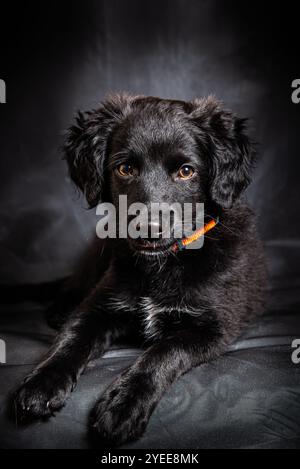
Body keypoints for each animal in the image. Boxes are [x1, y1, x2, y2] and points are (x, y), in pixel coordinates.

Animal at [14, 93, 268, 444]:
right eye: (125, 168)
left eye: (186, 171)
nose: (148, 229)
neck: (162, 265)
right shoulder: (99, 306)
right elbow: (71, 339)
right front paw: (43, 383)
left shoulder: (212, 328)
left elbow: (162, 351)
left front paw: (124, 403)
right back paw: (58, 311)